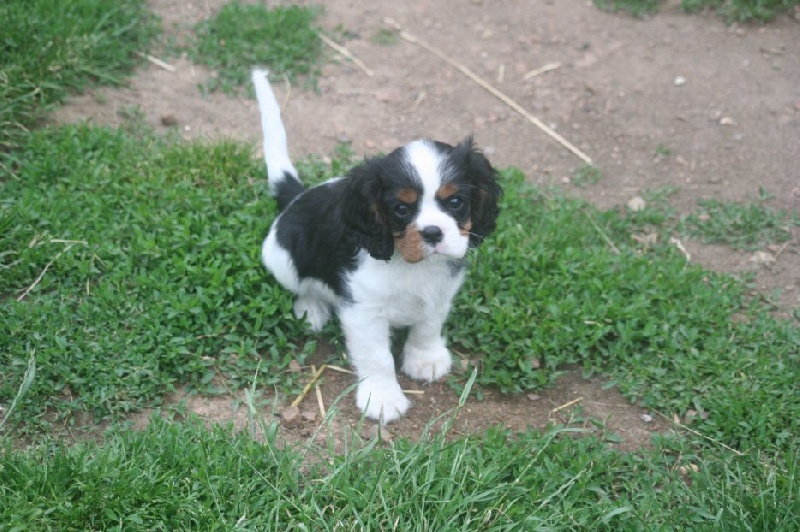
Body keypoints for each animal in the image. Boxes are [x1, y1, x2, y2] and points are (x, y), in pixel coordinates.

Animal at [253, 70, 500, 422]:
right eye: (401, 208)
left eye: (456, 202)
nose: (433, 233)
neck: (411, 264)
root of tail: (296, 196)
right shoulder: (364, 311)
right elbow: (378, 357)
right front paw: (382, 397)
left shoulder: (441, 292)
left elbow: (428, 325)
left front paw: (425, 358)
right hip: (281, 257)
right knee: (304, 285)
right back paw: (310, 309)